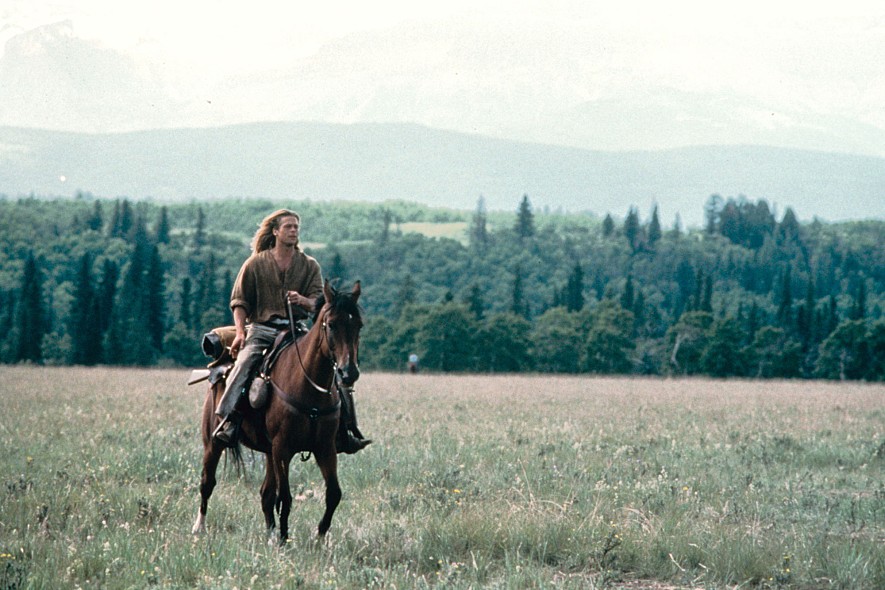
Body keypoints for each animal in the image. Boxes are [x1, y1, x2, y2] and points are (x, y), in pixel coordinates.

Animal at [192, 282, 360, 544]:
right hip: (213, 442)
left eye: (359, 325)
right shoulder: (283, 448)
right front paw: (283, 539)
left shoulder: (325, 448)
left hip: (268, 451)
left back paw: (269, 533)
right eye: (331, 324)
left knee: (265, 493)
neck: (307, 384)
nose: (348, 373)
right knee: (207, 482)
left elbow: (333, 494)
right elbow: (286, 498)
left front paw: (319, 537)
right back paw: (199, 527)